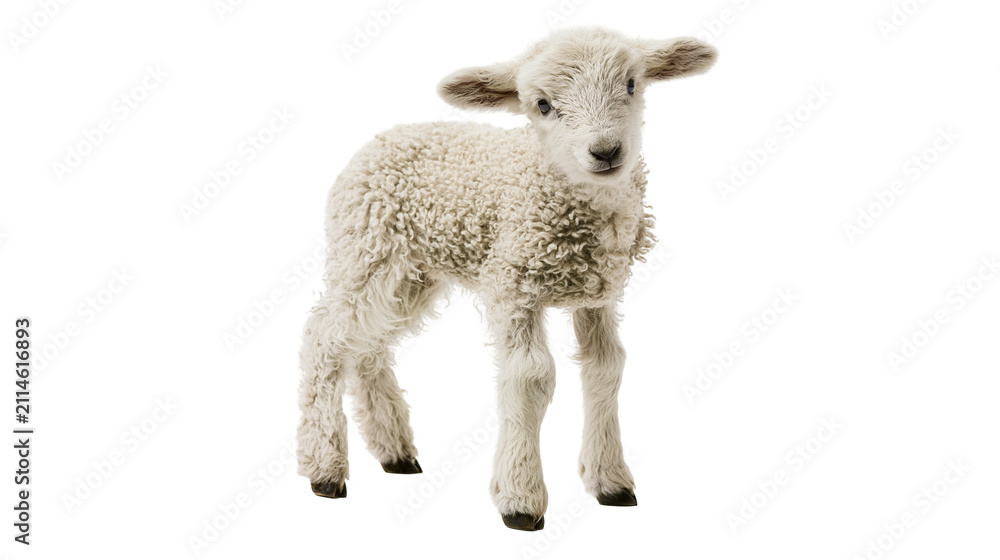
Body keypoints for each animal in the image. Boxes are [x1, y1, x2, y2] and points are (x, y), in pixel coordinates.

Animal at [297, 26, 717, 531]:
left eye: (632, 84)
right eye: (542, 104)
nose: (605, 151)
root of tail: (383, 138)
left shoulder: (596, 294)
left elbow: (606, 368)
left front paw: (611, 482)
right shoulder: (514, 285)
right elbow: (529, 377)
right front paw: (521, 498)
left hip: (414, 272)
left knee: (368, 344)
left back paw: (394, 451)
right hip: (365, 249)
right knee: (326, 337)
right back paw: (324, 468)